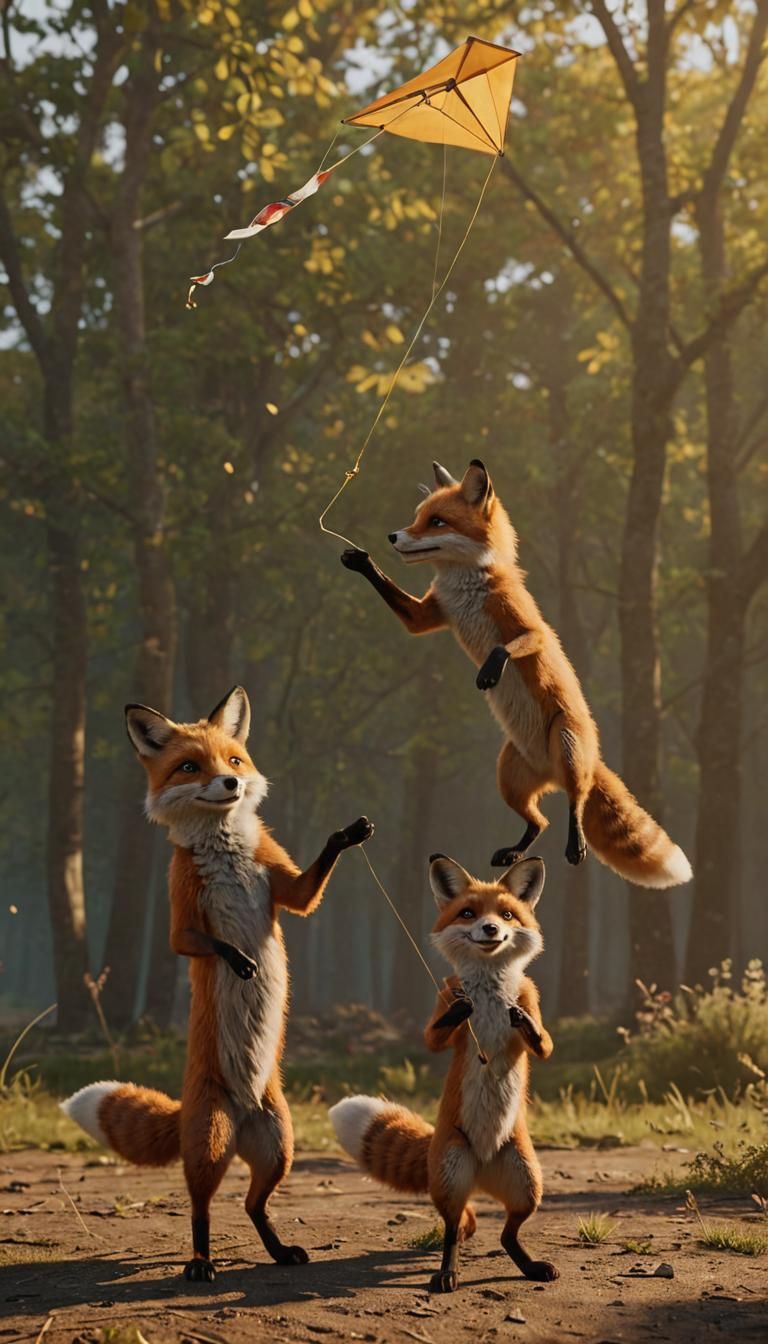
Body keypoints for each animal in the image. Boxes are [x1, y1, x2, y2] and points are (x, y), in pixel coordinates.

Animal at [62, 686, 373, 1283]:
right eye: (190, 766)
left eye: (233, 760)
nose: (230, 783)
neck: (226, 852)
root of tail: (241, 1113)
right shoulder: (180, 913)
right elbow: (204, 944)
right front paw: (240, 961)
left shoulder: (288, 888)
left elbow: (308, 888)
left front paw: (348, 834)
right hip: (210, 1145)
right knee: (201, 1209)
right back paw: (201, 1262)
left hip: (280, 1149)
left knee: (253, 1205)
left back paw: (279, 1251)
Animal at [331, 854, 556, 1294]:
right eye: (468, 913)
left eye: (506, 914)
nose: (491, 929)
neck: (489, 991)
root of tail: (481, 1170)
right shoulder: (442, 999)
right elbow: (433, 1037)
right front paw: (461, 1010)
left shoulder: (531, 997)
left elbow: (544, 1044)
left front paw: (523, 1023)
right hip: (453, 1177)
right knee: (454, 1229)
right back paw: (447, 1272)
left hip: (527, 1184)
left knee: (506, 1234)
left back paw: (530, 1266)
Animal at [341, 458, 692, 889]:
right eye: (418, 517)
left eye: (437, 521)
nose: (393, 536)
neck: (466, 587)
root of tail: (561, 771)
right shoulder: (427, 616)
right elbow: (397, 599)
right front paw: (360, 560)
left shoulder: (531, 626)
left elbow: (507, 646)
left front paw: (490, 673)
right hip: (507, 777)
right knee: (539, 821)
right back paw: (514, 852)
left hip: (566, 744)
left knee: (576, 802)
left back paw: (575, 844)